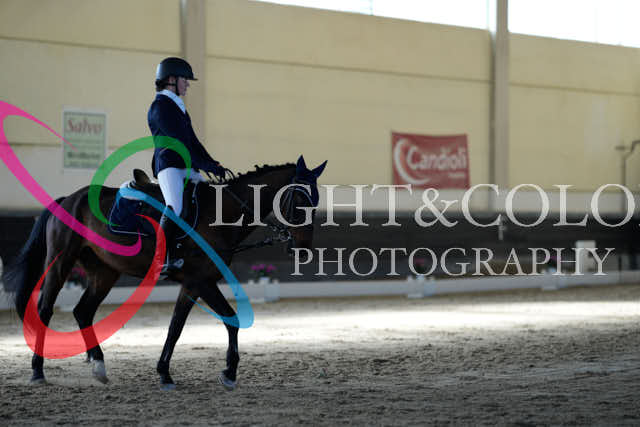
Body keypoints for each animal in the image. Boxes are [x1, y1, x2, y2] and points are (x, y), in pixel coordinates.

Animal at [2, 155, 327, 390]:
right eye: (299, 199)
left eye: (316, 201)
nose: (303, 249)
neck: (221, 214)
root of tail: (68, 199)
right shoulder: (200, 280)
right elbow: (231, 319)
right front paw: (229, 372)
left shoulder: (193, 284)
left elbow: (176, 327)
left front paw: (165, 373)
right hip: (61, 263)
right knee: (45, 310)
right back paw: (38, 371)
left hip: (105, 271)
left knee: (83, 311)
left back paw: (99, 366)